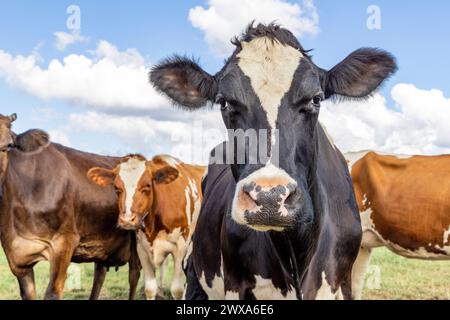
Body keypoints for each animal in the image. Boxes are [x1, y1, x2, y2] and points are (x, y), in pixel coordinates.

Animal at [0, 115, 140, 300]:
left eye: (8, 145)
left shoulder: (64, 241)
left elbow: (52, 293)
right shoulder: (17, 257)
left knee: (135, 274)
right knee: (100, 273)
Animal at [149, 23, 396, 300]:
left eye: (316, 99)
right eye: (224, 102)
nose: (269, 198)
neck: (295, 252)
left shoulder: (341, 282)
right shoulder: (235, 284)